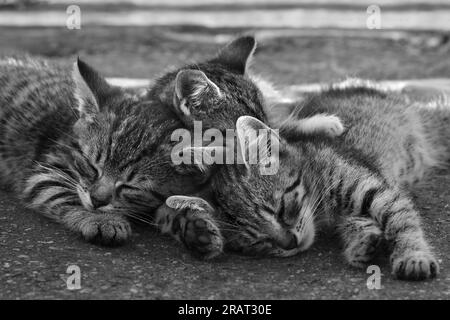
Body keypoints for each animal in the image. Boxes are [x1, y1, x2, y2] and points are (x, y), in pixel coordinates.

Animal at [163, 79, 448, 280]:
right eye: (255, 241)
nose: (290, 244)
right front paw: (362, 239)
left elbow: (402, 221)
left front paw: (413, 254)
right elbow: (356, 220)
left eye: (279, 210)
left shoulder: (378, 190)